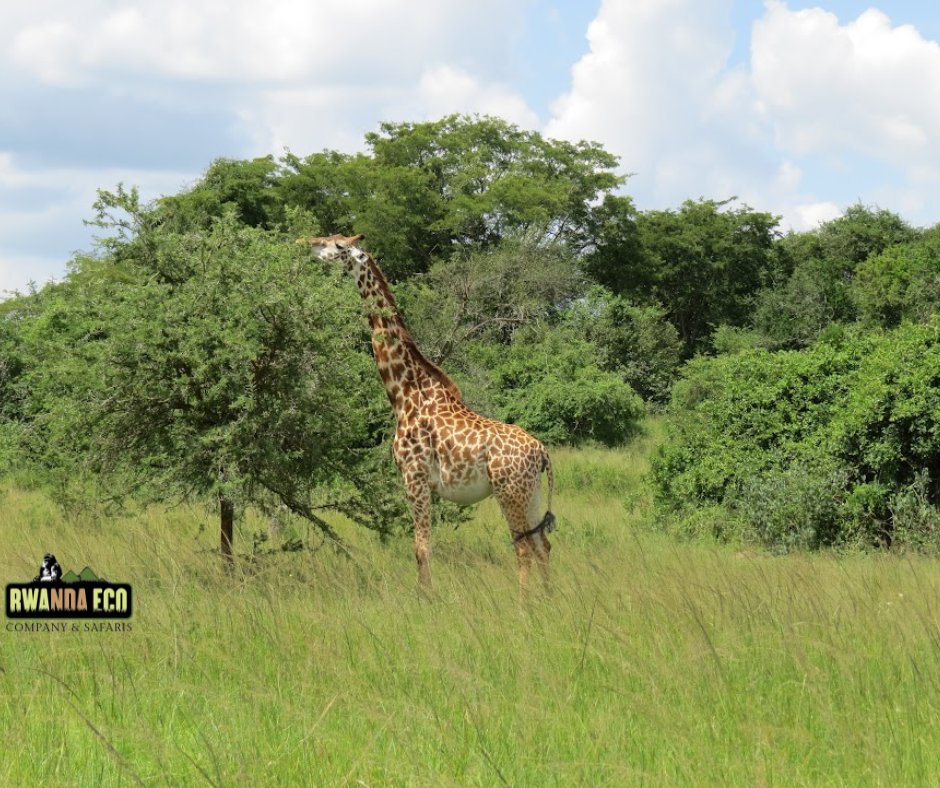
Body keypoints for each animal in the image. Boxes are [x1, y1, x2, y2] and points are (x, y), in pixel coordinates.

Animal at [304, 234, 556, 592]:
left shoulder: (415, 477)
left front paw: (427, 598)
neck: (405, 393)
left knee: (523, 548)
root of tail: (542, 452)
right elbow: (423, 548)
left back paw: (524, 603)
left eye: (339, 246)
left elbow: (421, 548)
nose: (312, 244)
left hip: (509, 491)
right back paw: (548, 598)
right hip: (530, 493)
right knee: (542, 545)